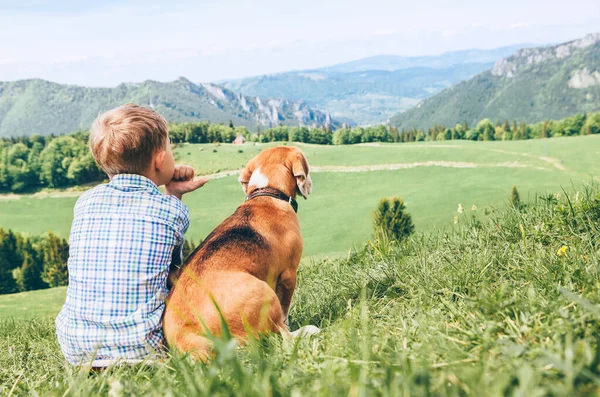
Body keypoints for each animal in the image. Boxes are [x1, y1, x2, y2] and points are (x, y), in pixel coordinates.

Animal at [162, 146, 316, 358]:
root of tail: (187, 335)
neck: (266, 193)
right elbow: (285, 312)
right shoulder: (288, 275)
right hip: (264, 293)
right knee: (282, 336)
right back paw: (307, 331)